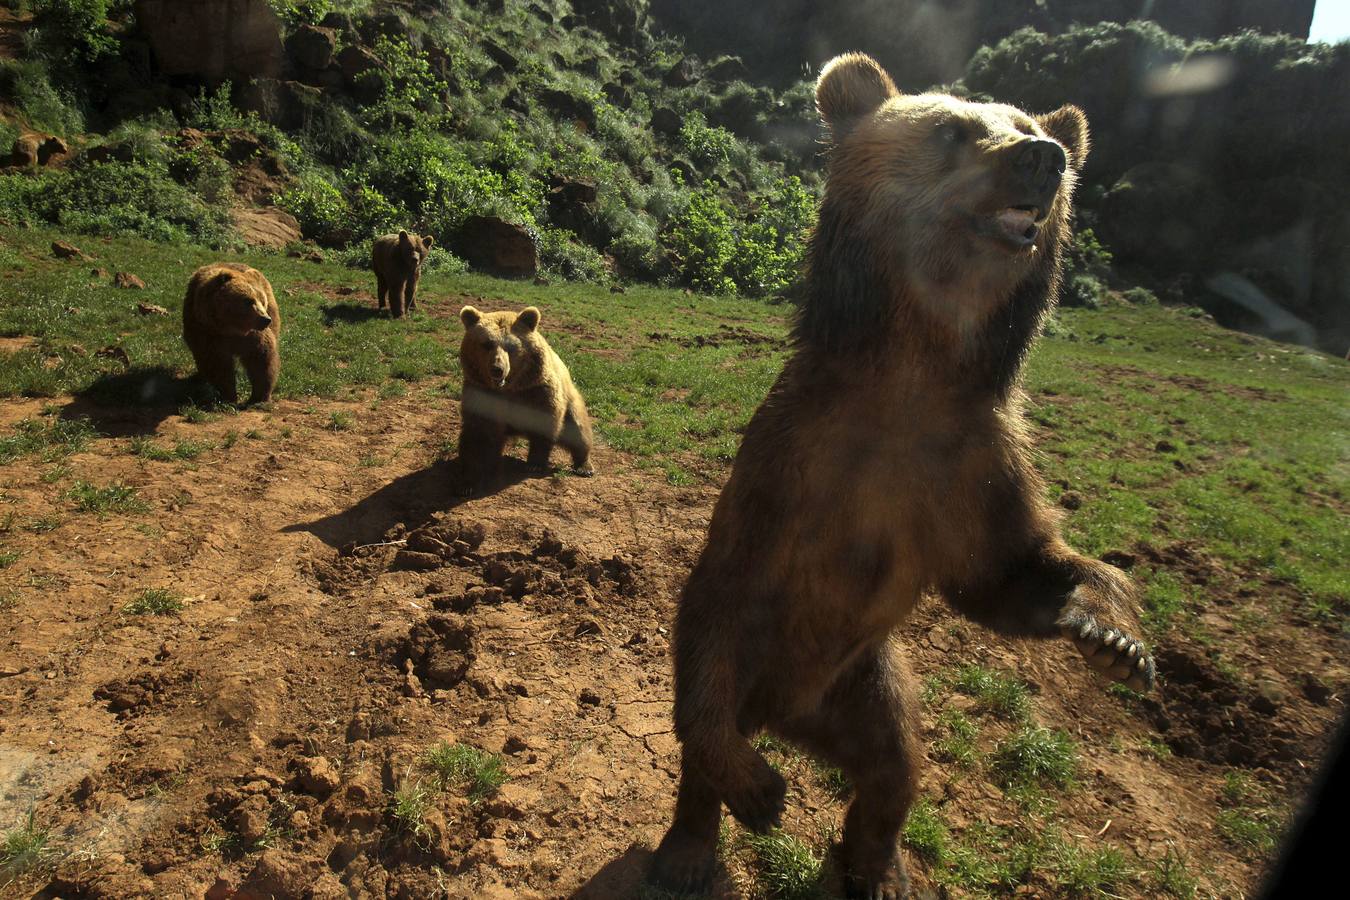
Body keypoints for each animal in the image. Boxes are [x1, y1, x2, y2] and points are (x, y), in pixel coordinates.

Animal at [182, 261, 279, 407]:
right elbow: (217, 363)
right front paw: (229, 396)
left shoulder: (253, 335)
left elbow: (261, 357)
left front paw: (259, 396)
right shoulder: (206, 331)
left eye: (262, 300)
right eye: (248, 300)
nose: (265, 319)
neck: (231, 328)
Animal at [456, 306, 594, 496]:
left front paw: (535, 464)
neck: (509, 388)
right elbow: (478, 434)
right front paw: (468, 483)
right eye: (487, 344)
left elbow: (545, 423)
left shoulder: (536, 391)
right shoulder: (481, 394)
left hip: (570, 400)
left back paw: (584, 466)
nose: (497, 369)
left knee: (578, 429)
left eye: (511, 346)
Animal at [648, 52, 1155, 895]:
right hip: (774, 668)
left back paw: (879, 866)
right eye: (954, 129)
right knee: (706, 732)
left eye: (1031, 123)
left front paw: (1114, 637)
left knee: (894, 766)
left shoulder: (974, 466)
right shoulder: (792, 463)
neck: (912, 374)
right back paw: (705, 832)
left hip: (864, 682)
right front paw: (755, 793)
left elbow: (1010, 570)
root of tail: (785, 716)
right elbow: (724, 590)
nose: (1044, 156)